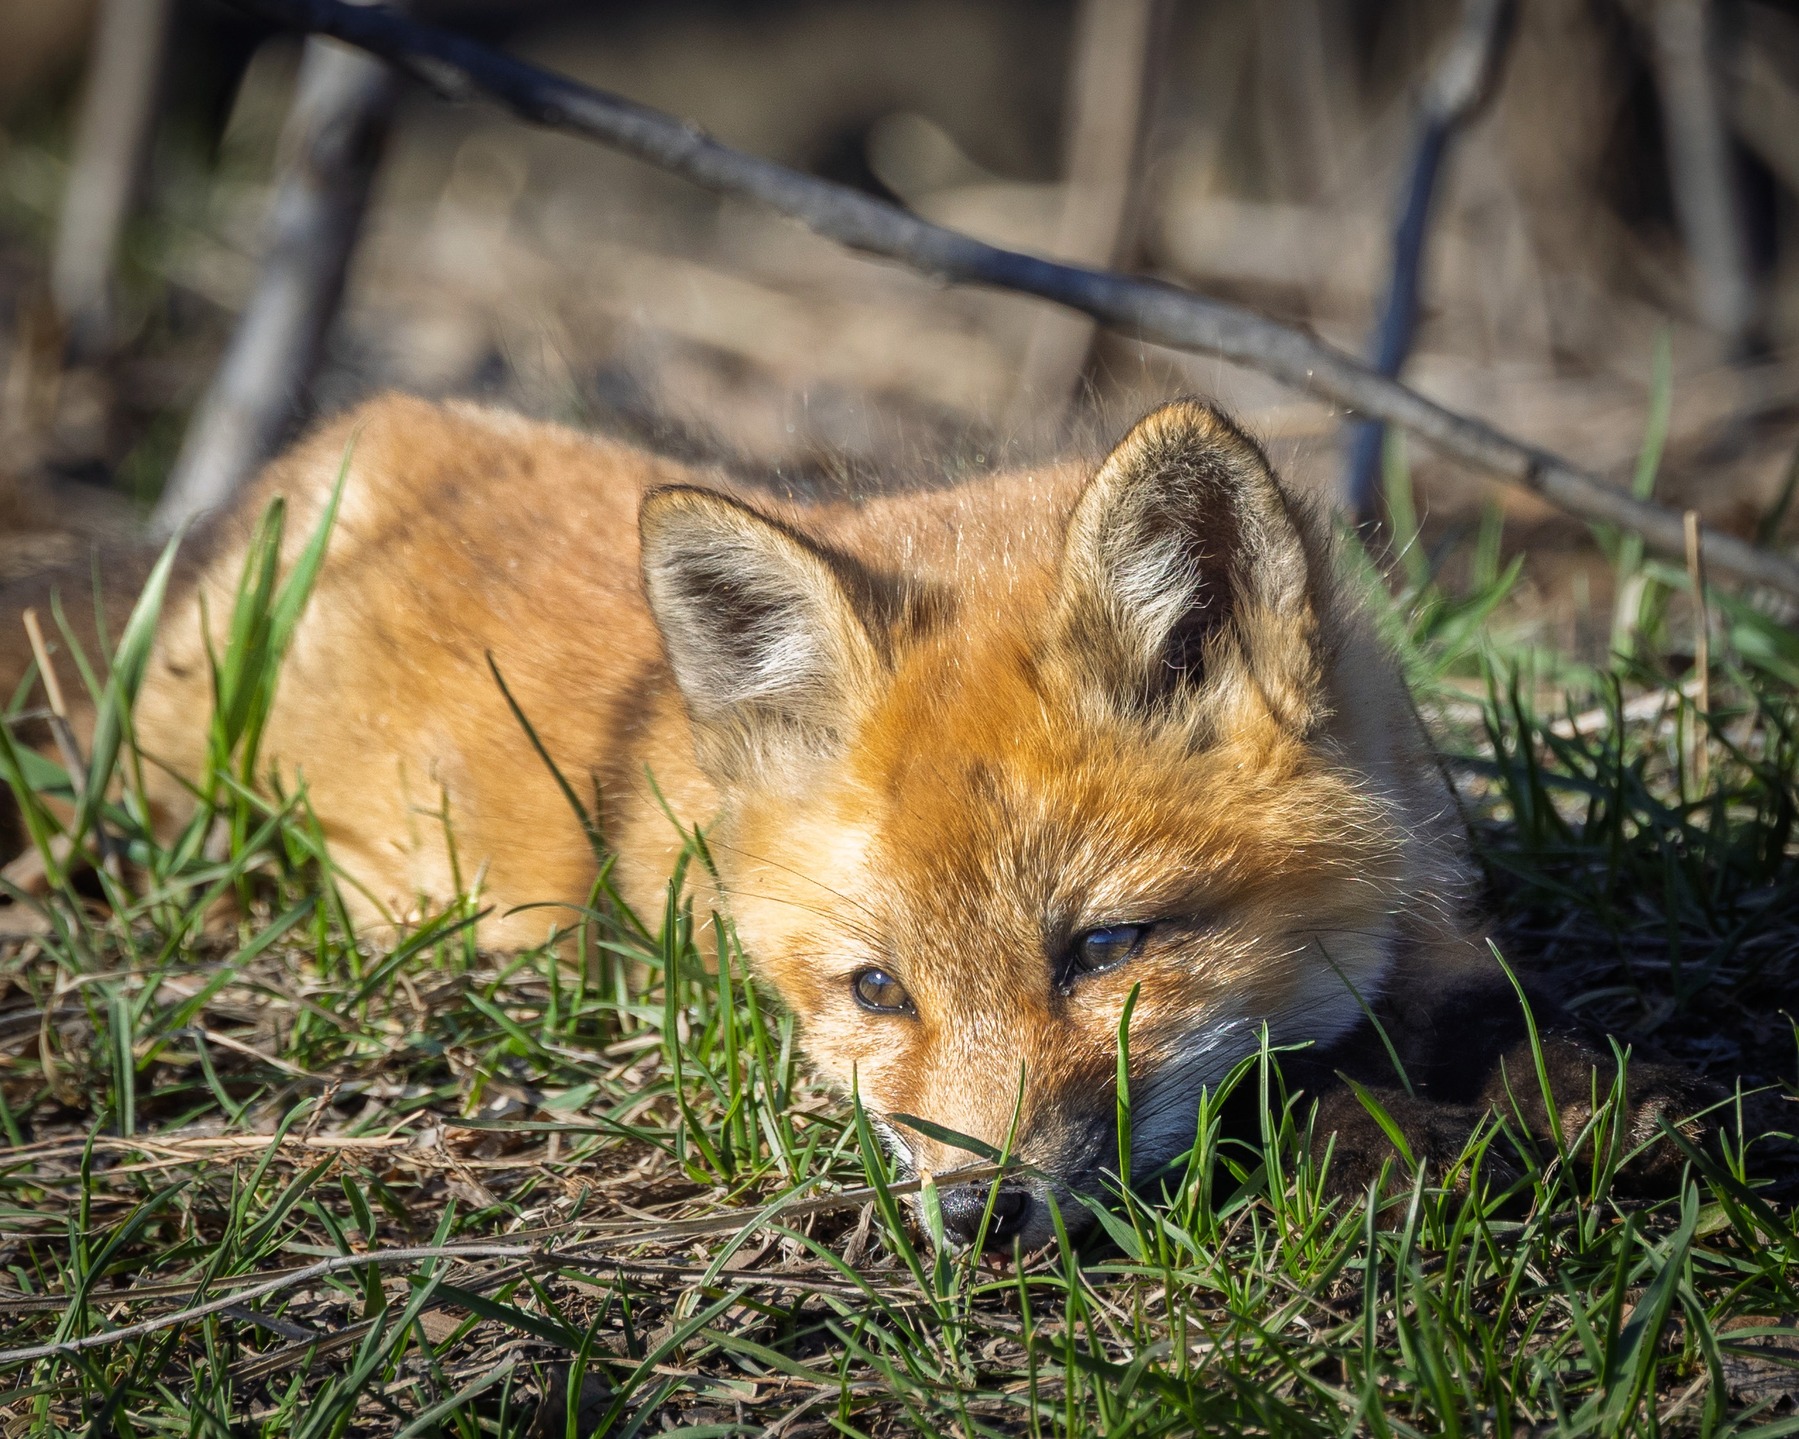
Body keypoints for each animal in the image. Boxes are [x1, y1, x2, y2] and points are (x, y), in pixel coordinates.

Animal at [1, 394, 1709, 1249]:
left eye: (1103, 947)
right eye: (874, 988)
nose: (974, 1213)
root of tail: (333, 438)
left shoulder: (1428, 899)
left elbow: (1486, 1002)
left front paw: (1605, 1100)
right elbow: (1286, 1095)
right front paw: (1419, 1143)